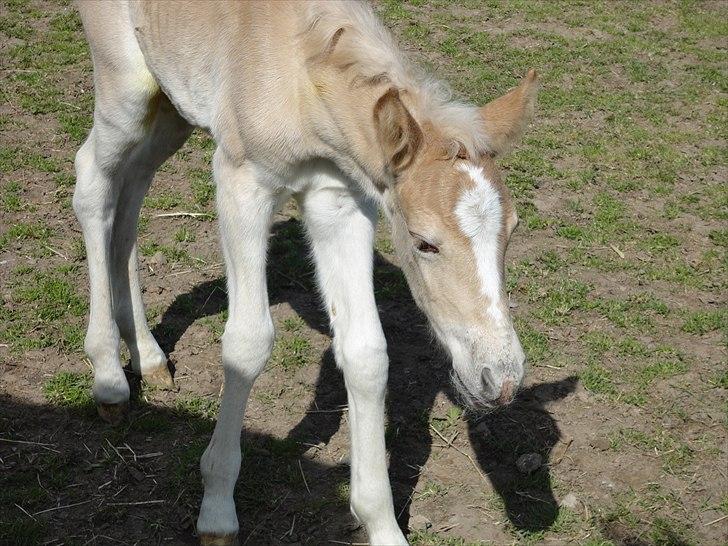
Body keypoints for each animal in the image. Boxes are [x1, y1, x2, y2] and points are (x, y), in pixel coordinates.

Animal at [75, 2, 536, 540]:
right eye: (424, 242)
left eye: (513, 230)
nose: (500, 380)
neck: (299, 75)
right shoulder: (241, 182)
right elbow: (247, 343)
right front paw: (217, 510)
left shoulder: (340, 202)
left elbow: (366, 353)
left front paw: (382, 526)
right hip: (124, 87)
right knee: (94, 183)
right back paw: (109, 376)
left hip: (170, 106)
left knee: (132, 192)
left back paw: (147, 355)